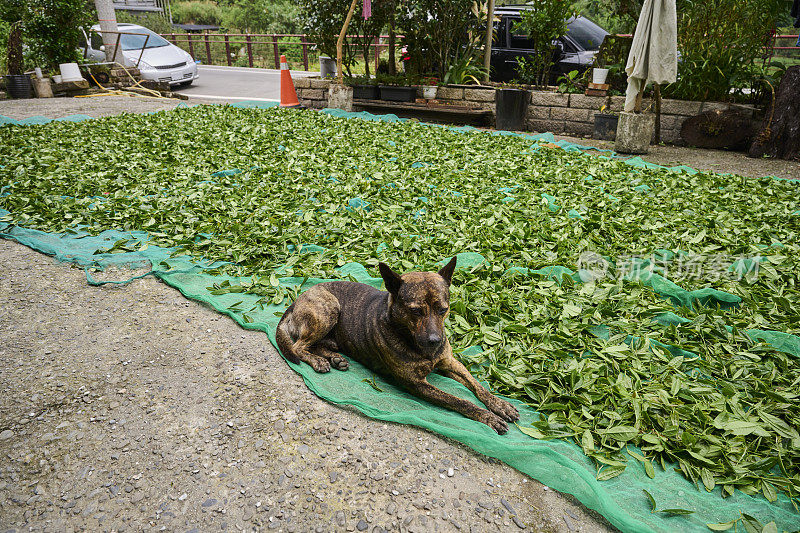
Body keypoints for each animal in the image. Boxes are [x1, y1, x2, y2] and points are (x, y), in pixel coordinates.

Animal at [278, 256, 520, 434]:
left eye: (443, 309)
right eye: (416, 311)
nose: (435, 341)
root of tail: (296, 302)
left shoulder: (449, 362)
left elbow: (477, 385)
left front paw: (499, 405)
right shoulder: (418, 384)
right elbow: (460, 401)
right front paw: (487, 417)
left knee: (315, 345)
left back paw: (334, 358)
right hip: (328, 309)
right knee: (299, 347)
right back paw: (318, 361)